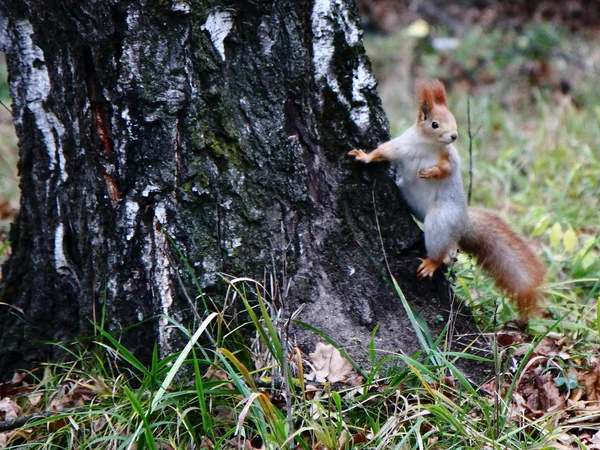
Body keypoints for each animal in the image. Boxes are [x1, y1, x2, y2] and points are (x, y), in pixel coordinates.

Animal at [346, 79, 548, 322]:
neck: (427, 145)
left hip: (441, 220)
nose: (454, 136)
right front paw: (364, 156)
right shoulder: (400, 146)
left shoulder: (450, 157)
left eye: (453, 120)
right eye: (434, 124)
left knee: (441, 251)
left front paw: (430, 173)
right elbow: (382, 152)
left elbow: (448, 169)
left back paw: (432, 262)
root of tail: (461, 224)